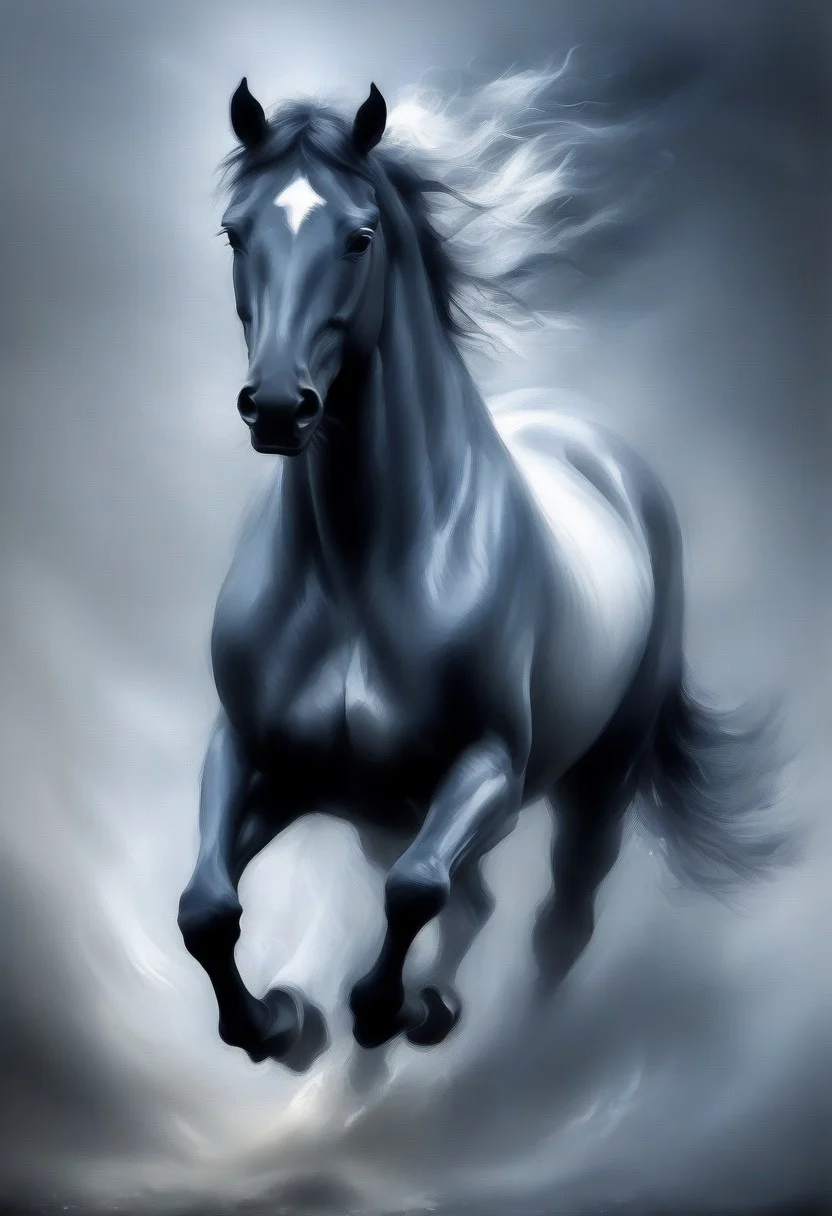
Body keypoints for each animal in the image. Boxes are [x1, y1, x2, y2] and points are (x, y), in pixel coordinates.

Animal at [176, 77, 790, 1072]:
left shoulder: (488, 771)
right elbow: (205, 908)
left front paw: (395, 1012)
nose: (275, 407)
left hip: (598, 782)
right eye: (236, 232)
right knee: (476, 903)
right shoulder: (257, 757)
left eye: (359, 236)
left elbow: (415, 890)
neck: (356, 575)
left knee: (555, 922)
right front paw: (280, 1025)